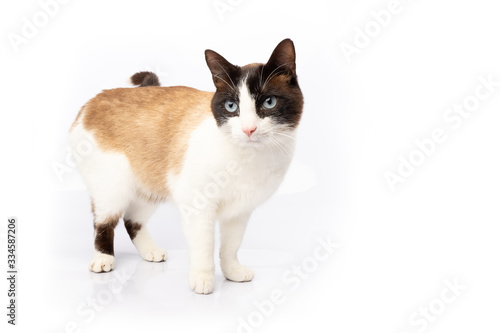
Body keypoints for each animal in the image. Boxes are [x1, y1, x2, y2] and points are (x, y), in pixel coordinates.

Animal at [69, 38, 304, 294]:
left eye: (269, 102)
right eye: (231, 106)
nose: (248, 129)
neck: (250, 158)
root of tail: (92, 102)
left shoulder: (239, 212)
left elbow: (230, 246)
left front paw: (232, 272)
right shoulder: (199, 206)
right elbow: (205, 245)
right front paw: (203, 279)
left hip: (148, 188)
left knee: (132, 220)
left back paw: (150, 252)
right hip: (113, 188)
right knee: (103, 222)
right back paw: (103, 260)